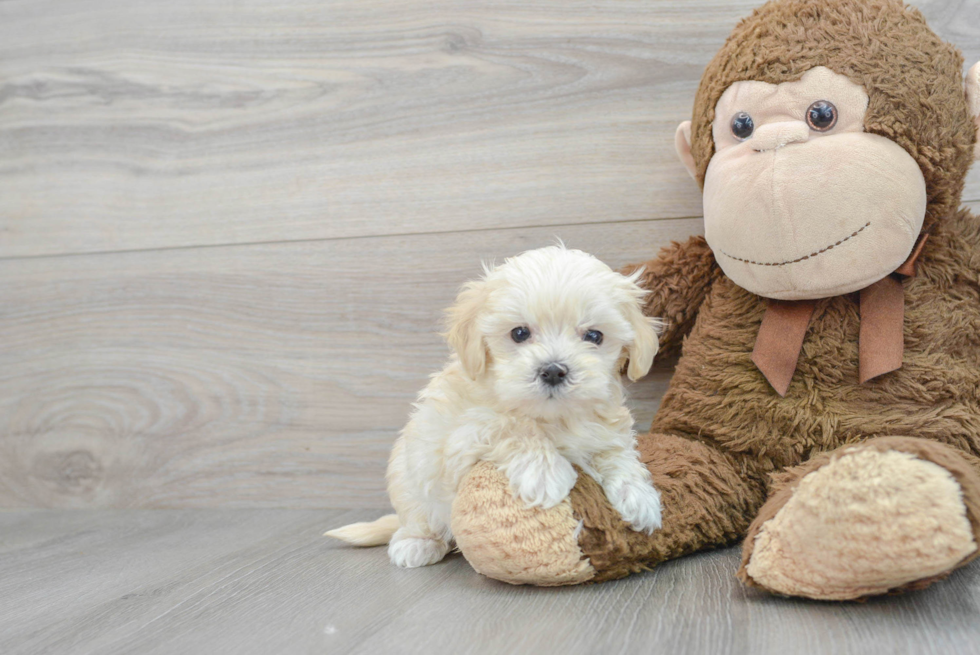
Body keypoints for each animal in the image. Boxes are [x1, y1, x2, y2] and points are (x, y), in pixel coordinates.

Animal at [326, 247, 664, 568]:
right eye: (519, 333)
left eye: (594, 336)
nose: (553, 371)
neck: (553, 418)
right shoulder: (462, 432)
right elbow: (510, 426)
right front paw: (545, 474)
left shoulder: (606, 430)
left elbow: (617, 454)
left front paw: (639, 497)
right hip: (409, 477)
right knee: (417, 517)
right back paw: (416, 543)